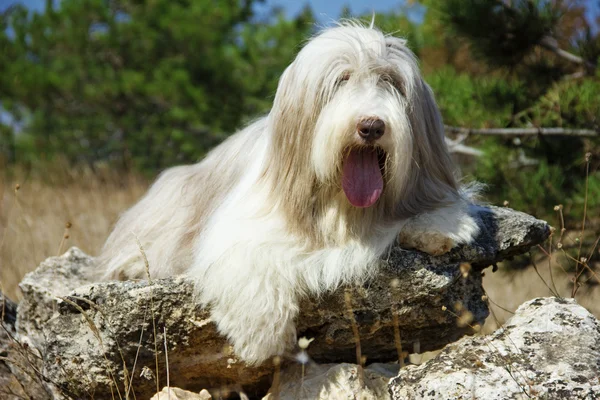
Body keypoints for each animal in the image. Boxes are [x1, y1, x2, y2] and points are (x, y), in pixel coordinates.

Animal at [99, 21, 482, 366]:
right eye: (340, 80)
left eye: (391, 81)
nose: (371, 126)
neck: (343, 211)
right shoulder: (245, 226)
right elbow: (247, 260)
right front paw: (259, 335)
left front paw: (441, 228)